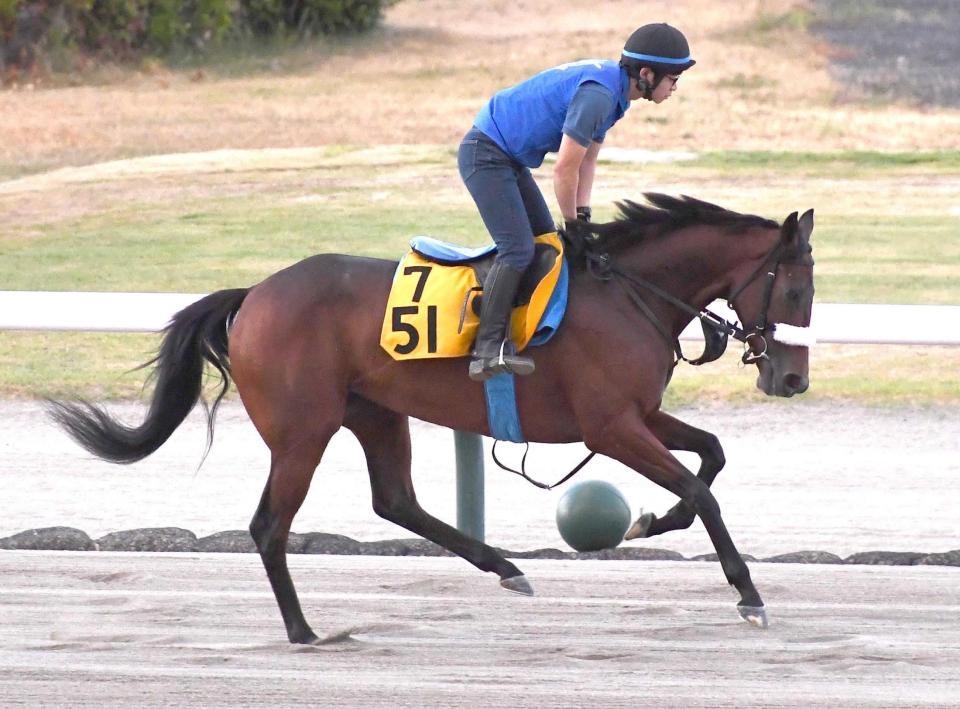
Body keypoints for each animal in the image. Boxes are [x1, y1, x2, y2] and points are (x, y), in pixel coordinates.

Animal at [50, 192, 816, 640]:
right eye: (798, 291)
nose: (792, 377)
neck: (628, 293)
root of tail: (256, 292)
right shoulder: (610, 426)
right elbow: (701, 488)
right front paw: (747, 592)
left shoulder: (637, 414)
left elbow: (711, 455)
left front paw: (650, 521)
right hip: (302, 429)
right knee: (270, 525)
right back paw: (304, 630)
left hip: (375, 412)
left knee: (396, 500)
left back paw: (504, 566)